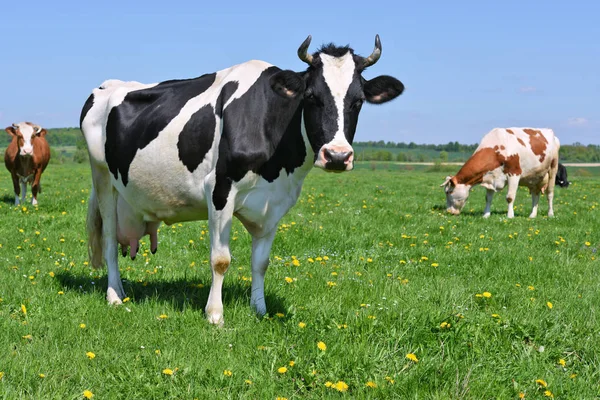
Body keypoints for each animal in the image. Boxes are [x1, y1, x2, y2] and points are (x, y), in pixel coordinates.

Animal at [79, 35, 406, 324]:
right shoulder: (219, 188)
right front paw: (215, 315)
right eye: (311, 97)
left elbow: (261, 262)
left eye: (358, 101)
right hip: (102, 176)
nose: (337, 156)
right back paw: (114, 295)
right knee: (108, 239)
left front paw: (259, 310)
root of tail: (106, 86)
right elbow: (220, 259)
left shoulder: (277, 202)